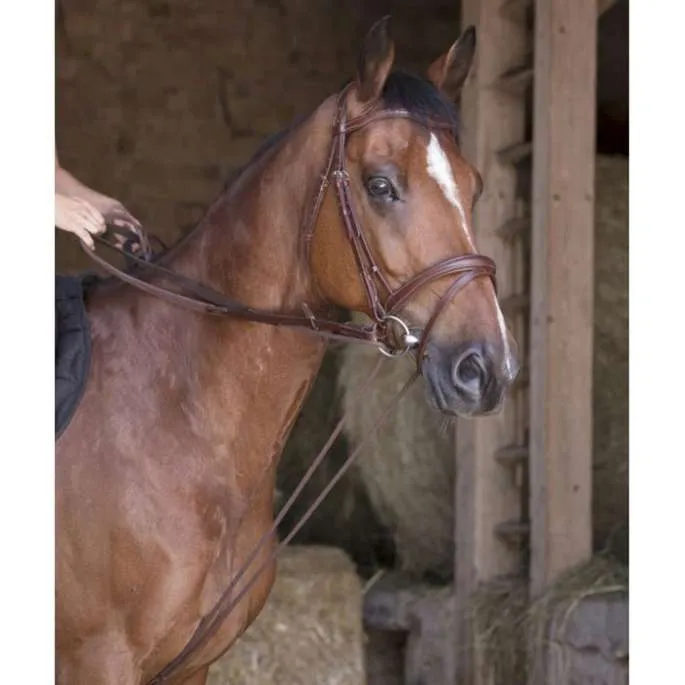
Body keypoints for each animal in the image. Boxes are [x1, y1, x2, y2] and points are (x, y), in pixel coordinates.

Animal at [56, 18, 519, 685]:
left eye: (475, 187)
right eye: (381, 185)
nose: (486, 368)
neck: (173, 415)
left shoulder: (189, 666)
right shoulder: (97, 662)